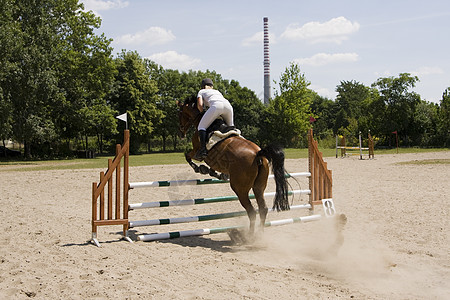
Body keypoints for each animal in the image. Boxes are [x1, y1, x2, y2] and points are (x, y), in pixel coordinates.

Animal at [176, 96, 288, 237]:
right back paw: (260, 234)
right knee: (263, 208)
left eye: (180, 113)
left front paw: (200, 169)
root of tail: (258, 153)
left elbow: (188, 156)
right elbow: (211, 167)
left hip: (240, 189)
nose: (181, 133)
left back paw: (250, 236)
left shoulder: (197, 151)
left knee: (251, 211)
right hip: (259, 187)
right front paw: (217, 173)